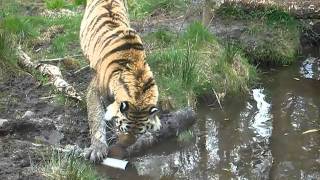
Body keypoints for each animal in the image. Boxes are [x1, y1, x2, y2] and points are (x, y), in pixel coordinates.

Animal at [79, 0, 161, 162]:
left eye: (139, 132)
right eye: (124, 128)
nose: (123, 147)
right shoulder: (95, 89)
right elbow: (96, 117)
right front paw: (97, 149)